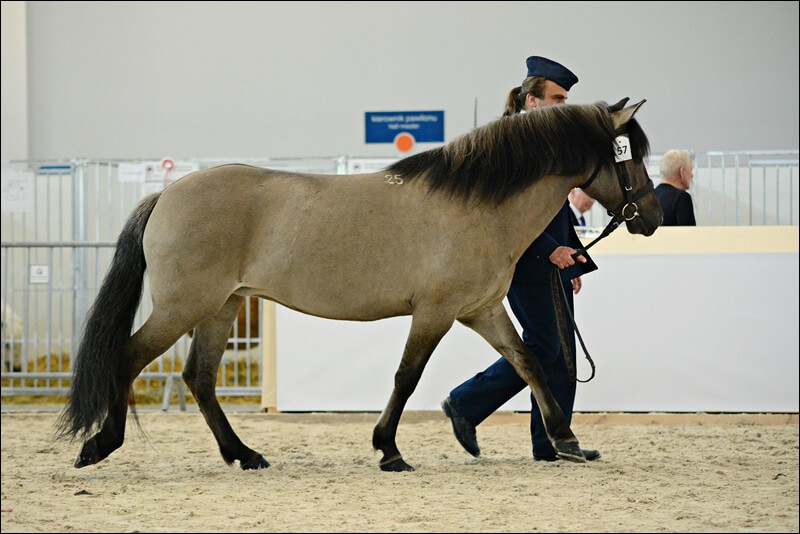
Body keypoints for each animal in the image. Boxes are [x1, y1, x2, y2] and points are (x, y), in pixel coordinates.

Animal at [53, 97, 660, 474]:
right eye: (630, 155)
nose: (651, 217)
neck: (478, 204)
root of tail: (167, 195)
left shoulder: (482, 310)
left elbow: (528, 361)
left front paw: (566, 440)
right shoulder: (435, 312)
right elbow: (406, 378)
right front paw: (389, 450)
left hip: (221, 307)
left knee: (199, 378)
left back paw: (245, 454)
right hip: (183, 307)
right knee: (127, 357)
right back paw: (101, 445)